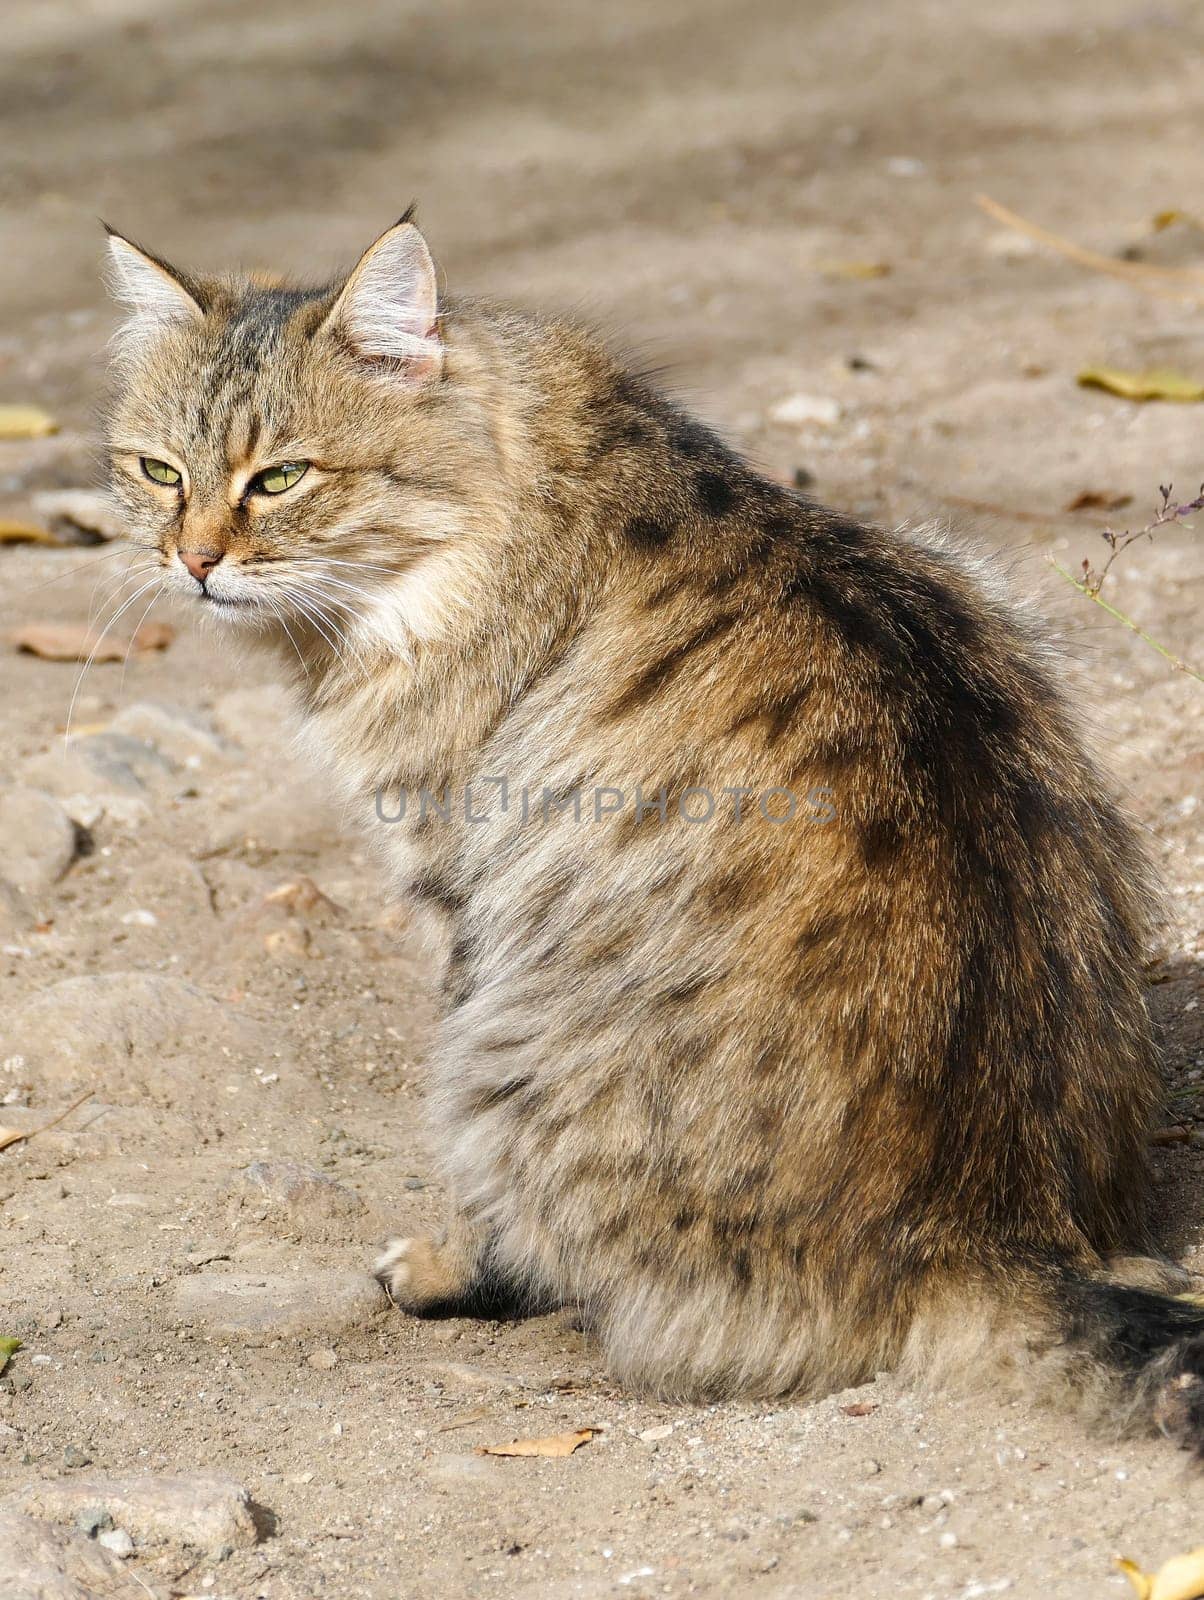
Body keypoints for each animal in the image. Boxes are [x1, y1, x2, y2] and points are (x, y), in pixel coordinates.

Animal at [101, 212, 1204, 1452]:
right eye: (158, 471)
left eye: (282, 476)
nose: (192, 561)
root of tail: (985, 1227)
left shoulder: (460, 896)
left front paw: (444, 1262)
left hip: (503, 1056)